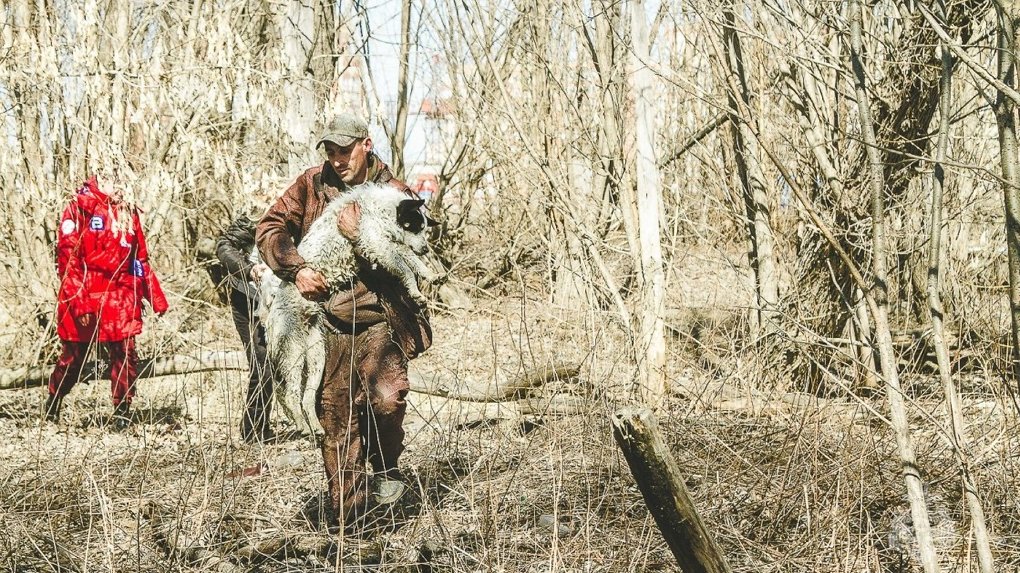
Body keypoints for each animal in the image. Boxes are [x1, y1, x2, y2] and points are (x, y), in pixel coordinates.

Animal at [257, 182, 436, 436]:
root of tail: (269, 314)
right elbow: (405, 267)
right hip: (292, 353)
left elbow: (410, 260)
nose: (426, 249)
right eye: (415, 226)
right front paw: (417, 291)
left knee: (307, 397)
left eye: (424, 227)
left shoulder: (387, 245)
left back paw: (315, 427)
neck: (382, 209)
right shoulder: (377, 243)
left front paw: (430, 274)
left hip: (316, 355)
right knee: (291, 395)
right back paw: (302, 425)